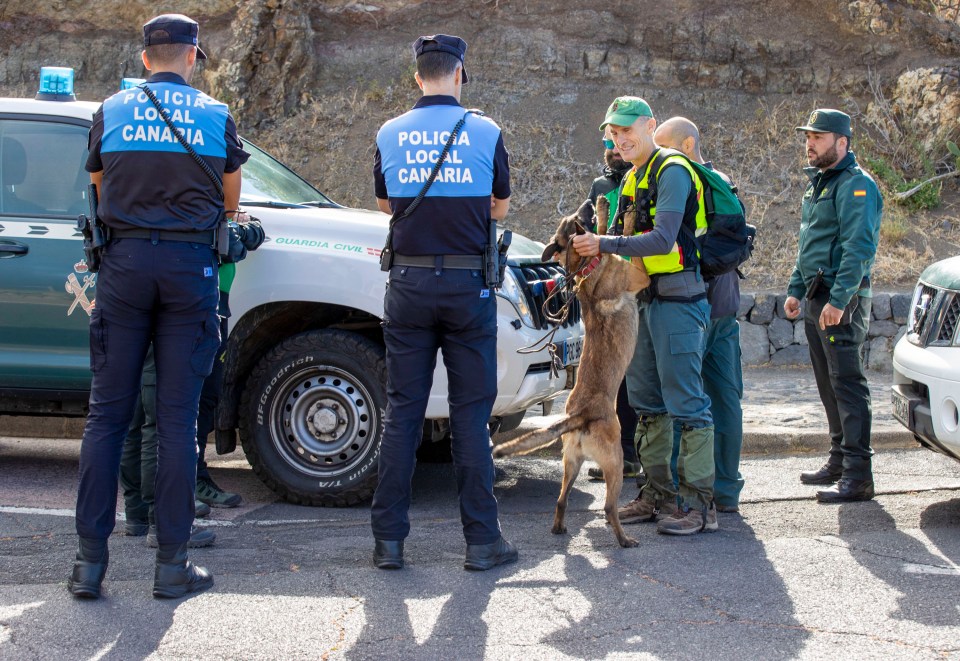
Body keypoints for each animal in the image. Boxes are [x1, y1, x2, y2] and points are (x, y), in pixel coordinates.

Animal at [496, 196, 644, 548]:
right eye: (577, 218)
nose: (591, 199)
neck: (584, 268)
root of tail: (581, 416)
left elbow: (606, 231)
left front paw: (606, 210)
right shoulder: (638, 274)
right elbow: (624, 238)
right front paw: (628, 218)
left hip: (571, 463)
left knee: (561, 500)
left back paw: (559, 528)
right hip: (614, 463)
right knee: (608, 507)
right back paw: (624, 540)